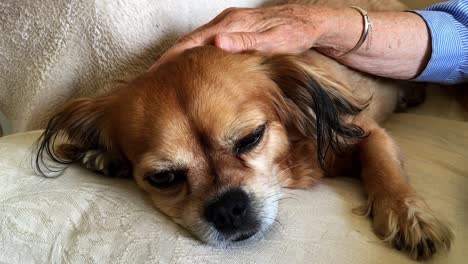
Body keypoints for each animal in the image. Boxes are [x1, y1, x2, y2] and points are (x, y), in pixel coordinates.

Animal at [33, 0, 454, 260]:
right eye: (163, 178)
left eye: (251, 138)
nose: (228, 209)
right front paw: (103, 156)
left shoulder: (363, 132)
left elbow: (382, 164)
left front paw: (407, 214)